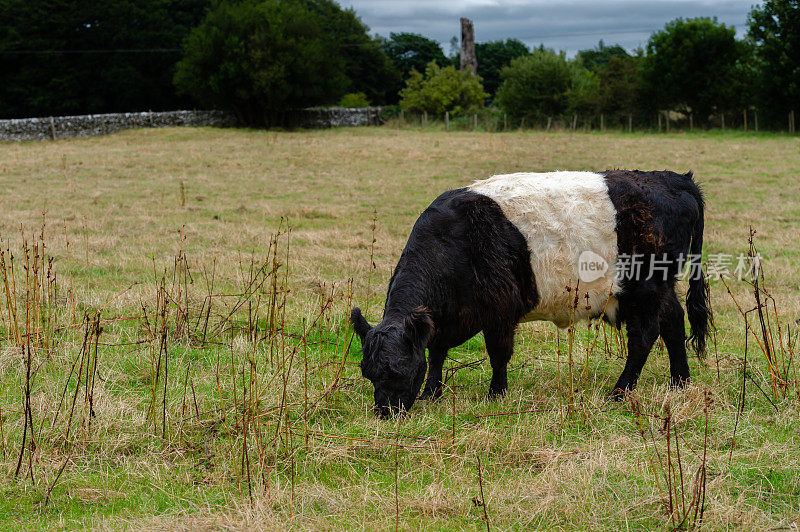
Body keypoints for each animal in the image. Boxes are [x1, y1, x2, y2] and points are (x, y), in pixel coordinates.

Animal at [354, 169, 708, 416]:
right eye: (367, 373)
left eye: (397, 369)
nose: (386, 412)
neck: (453, 242)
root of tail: (674, 179)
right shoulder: (444, 319)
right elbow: (436, 352)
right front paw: (432, 393)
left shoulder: (499, 311)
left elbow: (498, 354)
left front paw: (496, 394)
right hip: (659, 288)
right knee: (674, 321)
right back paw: (680, 382)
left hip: (644, 289)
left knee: (644, 337)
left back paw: (620, 391)